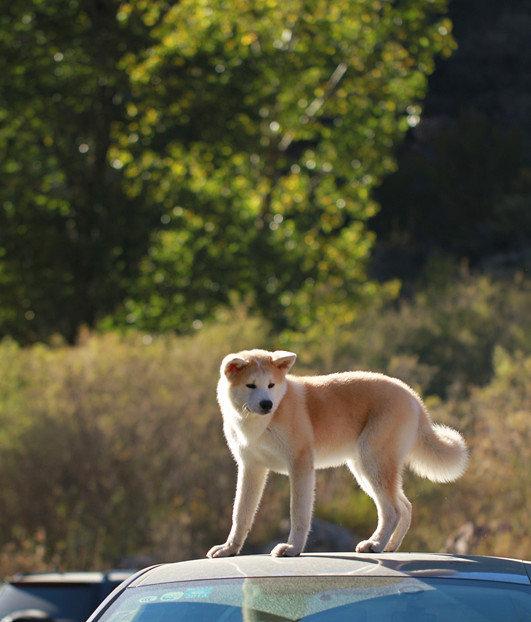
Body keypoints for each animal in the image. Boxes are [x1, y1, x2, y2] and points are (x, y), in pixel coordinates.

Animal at [206, 348, 468, 560]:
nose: (267, 404)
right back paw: (390, 546)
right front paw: (229, 549)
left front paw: (292, 549)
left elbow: (299, 514)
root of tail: (414, 397)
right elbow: (240, 515)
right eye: (251, 385)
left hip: (373, 463)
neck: (259, 425)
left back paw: (375, 545)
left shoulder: (300, 464)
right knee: (404, 507)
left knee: (392, 510)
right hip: (365, 469)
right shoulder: (251, 467)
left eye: (271, 385)